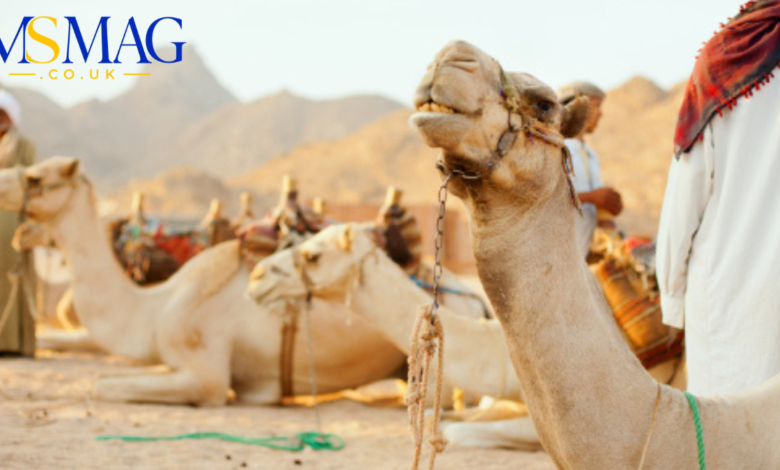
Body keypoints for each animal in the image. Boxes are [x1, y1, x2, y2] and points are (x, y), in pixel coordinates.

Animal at [0, 157, 408, 406]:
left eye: (36, 177)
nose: (24, 234)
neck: (154, 306)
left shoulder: (207, 376)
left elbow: (100, 384)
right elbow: (102, 376)